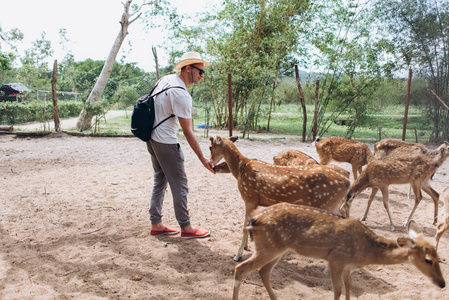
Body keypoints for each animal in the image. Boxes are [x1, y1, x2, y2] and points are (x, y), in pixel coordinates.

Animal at [209, 136, 350, 260]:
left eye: (210, 147)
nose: (212, 165)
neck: (241, 168)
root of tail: (347, 181)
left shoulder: (249, 197)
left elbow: (244, 227)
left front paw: (237, 255)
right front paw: (246, 247)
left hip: (326, 204)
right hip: (334, 205)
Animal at [231, 202, 444, 300]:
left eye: (439, 257)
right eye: (428, 260)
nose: (442, 284)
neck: (364, 250)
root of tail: (253, 219)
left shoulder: (348, 266)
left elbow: (349, 287)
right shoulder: (336, 259)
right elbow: (338, 289)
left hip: (276, 249)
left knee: (263, 271)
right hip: (268, 248)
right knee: (241, 269)